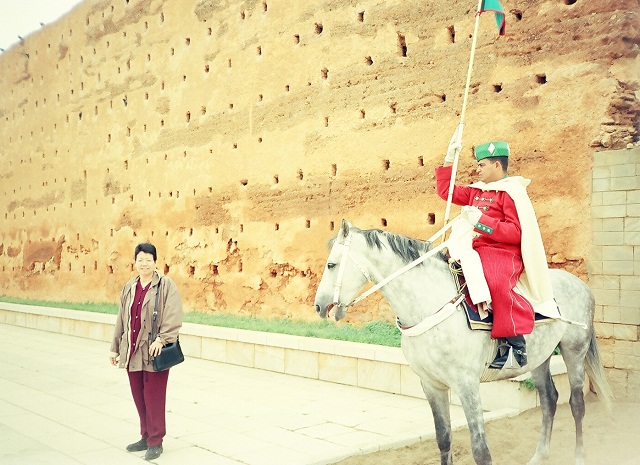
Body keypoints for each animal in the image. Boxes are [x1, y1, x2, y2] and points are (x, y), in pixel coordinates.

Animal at [313, 220, 612, 465]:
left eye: (331, 264)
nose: (319, 305)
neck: (429, 304)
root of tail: (581, 285)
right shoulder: (431, 385)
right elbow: (443, 439)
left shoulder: (467, 385)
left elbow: (481, 450)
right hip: (540, 358)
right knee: (549, 400)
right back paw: (539, 456)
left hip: (574, 352)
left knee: (576, 404)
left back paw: (579, 456)